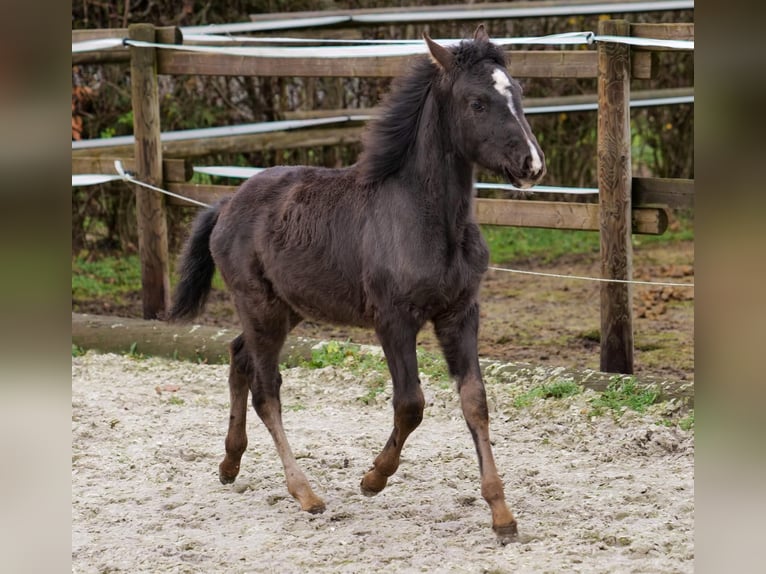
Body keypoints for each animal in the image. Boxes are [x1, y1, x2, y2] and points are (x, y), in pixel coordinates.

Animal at [172, 23, 548, 544]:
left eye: (518, 94)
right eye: (476, 102)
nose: (531, 165)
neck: (426, 219)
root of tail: (226, 203)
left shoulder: (460, 313)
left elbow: (475, 402)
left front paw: (502, 514)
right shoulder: (393, 320)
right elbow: (411, 405)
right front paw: (373, 478)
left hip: (285, 309)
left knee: (238, 358)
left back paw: (230, 463)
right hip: (260, 307)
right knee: (267, 388)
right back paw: (305, 493)